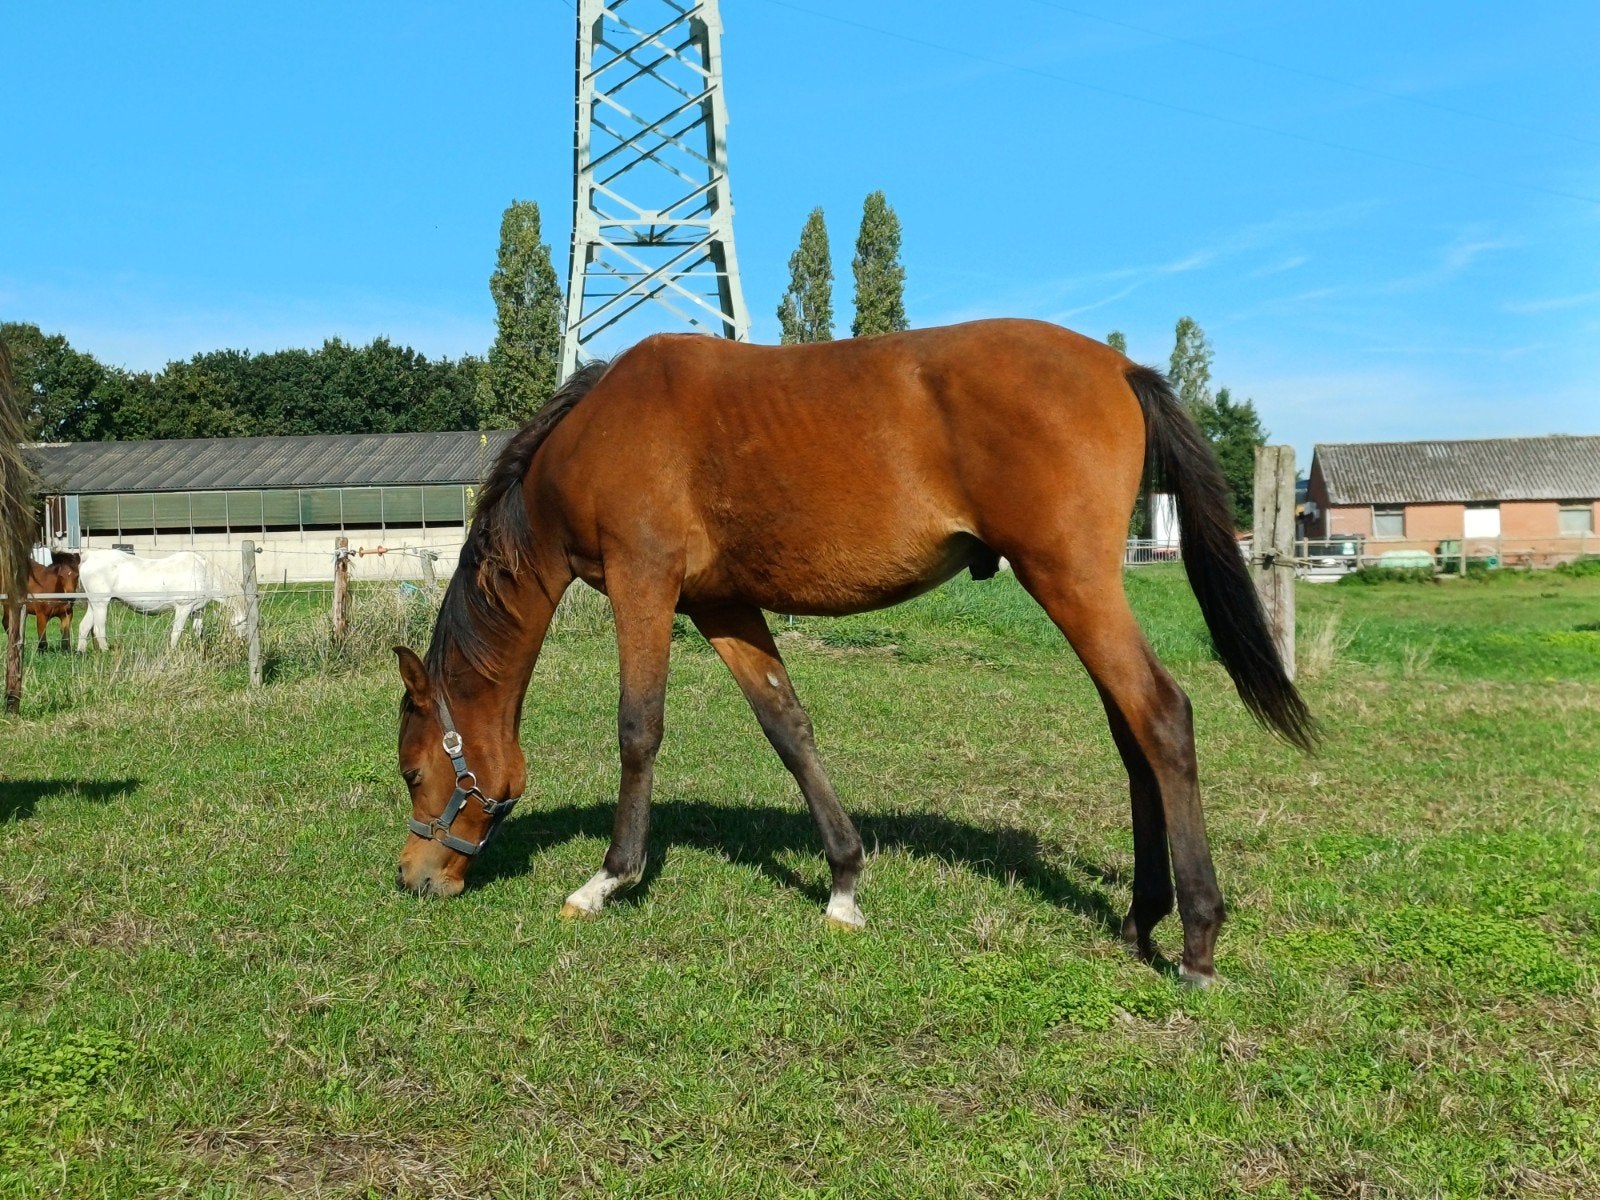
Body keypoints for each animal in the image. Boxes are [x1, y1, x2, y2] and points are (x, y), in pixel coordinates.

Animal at [75, 548, 247, 651]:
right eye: (245, 624)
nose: (242, 644)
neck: (203, 572)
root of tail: (89, 556)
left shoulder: (197, 610)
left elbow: (198, 631)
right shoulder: (183, 608)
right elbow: (176, 633)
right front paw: (173, 652)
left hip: (93, 604)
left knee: (84, 627)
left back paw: (81, 652)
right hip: (101, 603)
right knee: (98, 630)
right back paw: (106, 652)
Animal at [392, 319, 1315, 986]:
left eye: (411, 771)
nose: (414, 877)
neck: (592, 435)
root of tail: (1121, 369)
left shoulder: (641, 582)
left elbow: (638, 729)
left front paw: (606, 880)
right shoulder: (721, 603)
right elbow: (787, 725)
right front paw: (843, 884)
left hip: (1071, 580)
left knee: (1162, 716)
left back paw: (1197, 939)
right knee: (1132, 734)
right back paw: (1142, 916)